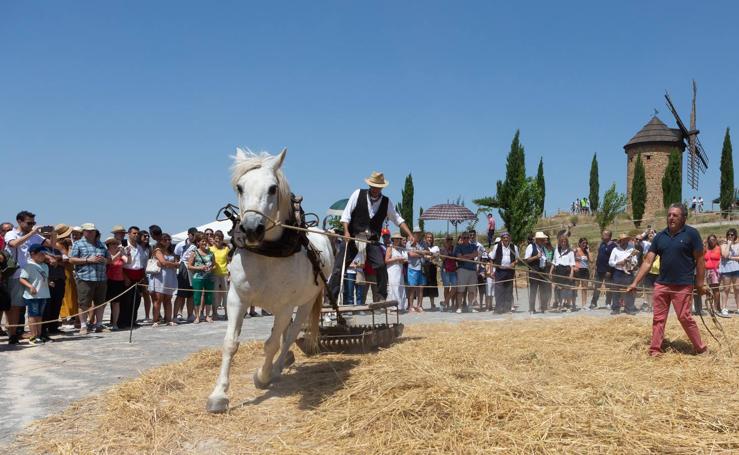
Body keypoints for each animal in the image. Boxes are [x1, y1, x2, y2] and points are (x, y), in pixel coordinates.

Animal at [208, 149, 336, 414]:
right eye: (240, 187)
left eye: (273, 188)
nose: (251, 229)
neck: (268, 253)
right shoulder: (236, 298)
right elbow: (230, 343)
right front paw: (219, 395)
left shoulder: (286, 306)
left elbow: (272, 344)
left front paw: (262, 376)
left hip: (305, 302)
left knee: (290, 334)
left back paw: (276, 368)